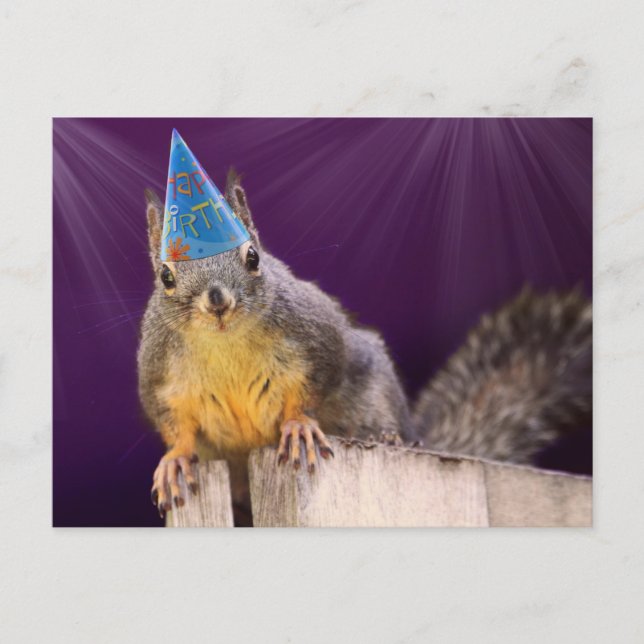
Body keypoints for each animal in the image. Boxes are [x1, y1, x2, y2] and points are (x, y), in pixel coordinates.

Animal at [138, 171, 592, 523]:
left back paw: (392, 439)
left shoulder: (318, 340)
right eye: (166, 276)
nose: (217, 300)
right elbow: (174, 423)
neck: (225, 342)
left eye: (253, 257)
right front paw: (175, 459)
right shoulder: (159, 376)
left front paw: (298, 425)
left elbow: (313, 387)